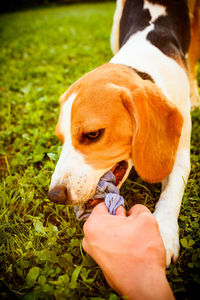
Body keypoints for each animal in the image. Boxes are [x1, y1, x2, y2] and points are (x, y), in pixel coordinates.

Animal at [48, 0, 200, 264]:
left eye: (93, 134)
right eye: (61, 139)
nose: (55, 195)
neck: (142, 64)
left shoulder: (179, 153)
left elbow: (172, 192)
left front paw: (162, 232)